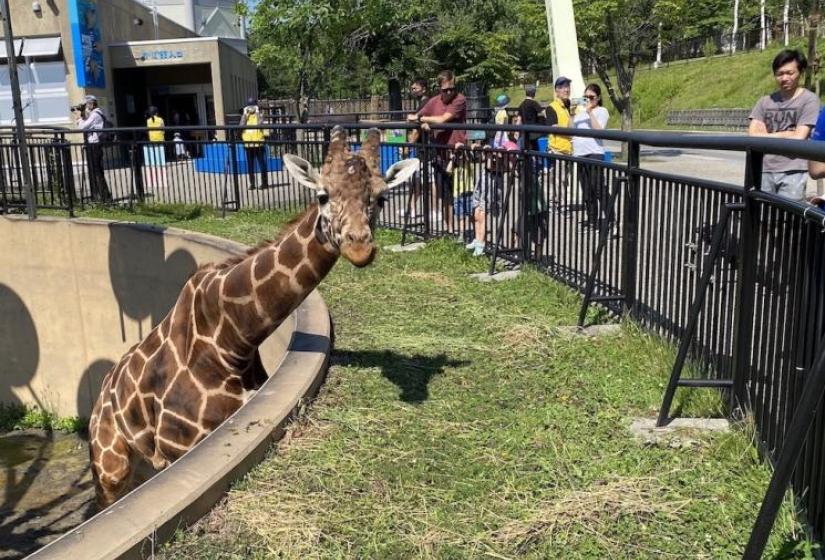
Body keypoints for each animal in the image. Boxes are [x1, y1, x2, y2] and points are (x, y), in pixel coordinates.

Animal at [88, 128, 418, 508]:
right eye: (322, 195)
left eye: (380, 198)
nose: (360, 247)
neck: (233, 340)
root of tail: (99, 398)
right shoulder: (179, 447)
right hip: (110, 468)